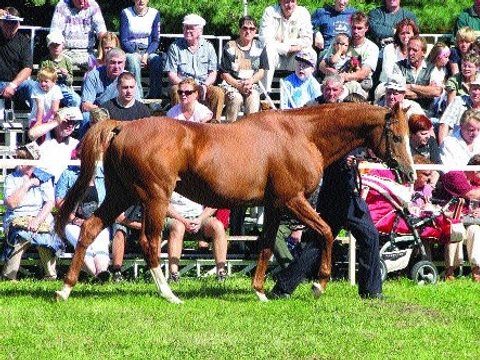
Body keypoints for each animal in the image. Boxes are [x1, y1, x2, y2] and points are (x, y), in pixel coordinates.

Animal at [55, 102, 416, 302]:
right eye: (397, 136)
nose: (410, 173)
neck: (301, 135)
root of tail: (123, 126)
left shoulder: (274, 206)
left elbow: (266, 246)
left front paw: (260, 291)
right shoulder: (292, 199)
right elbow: (326, 231)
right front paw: (318, 284)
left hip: (121, 194)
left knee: (89, 227)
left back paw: (65, 289)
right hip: (155, 198)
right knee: (149, 242)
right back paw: (170, 295)